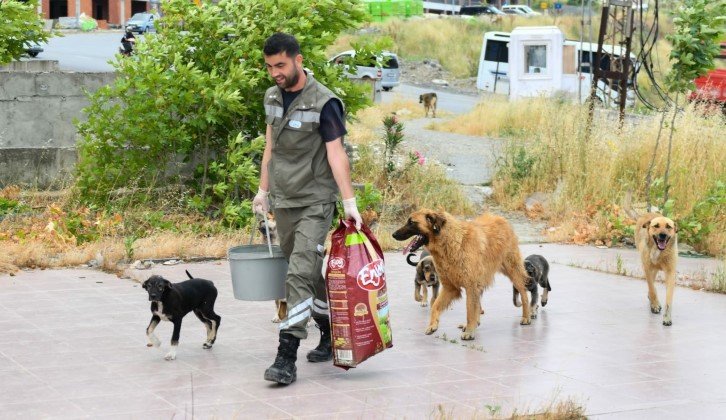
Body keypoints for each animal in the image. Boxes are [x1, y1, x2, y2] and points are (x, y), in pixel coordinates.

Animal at [396, 208, 532, 340]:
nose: (394, 234)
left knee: (524, 293)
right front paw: (433, 325)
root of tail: (502, 219)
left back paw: (526, 317)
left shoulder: (471, 286)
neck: (452, 242)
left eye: (411, 222)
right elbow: (435, 305)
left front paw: (469, 332)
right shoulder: (451, 288)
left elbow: (470, 310)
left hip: (513, 270)